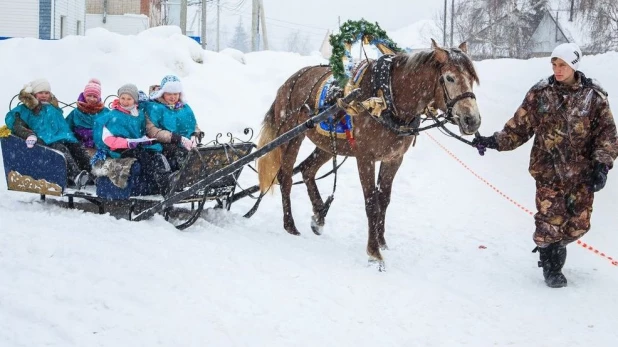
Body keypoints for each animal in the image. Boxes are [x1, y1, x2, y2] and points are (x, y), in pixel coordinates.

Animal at [253, 40, 478, 270]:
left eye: (472, 79)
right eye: (449, 78)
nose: (472, 120)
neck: (385, 97)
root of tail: (289, 82)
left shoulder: (393, 159)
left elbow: (383, 200)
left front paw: (381, 241)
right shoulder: (365, 158)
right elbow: (371, 203)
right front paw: (374, 252)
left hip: (327, 145)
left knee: (307, 170)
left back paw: (319, 215)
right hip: (291, 136)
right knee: (286, 177)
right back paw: (290, 225)